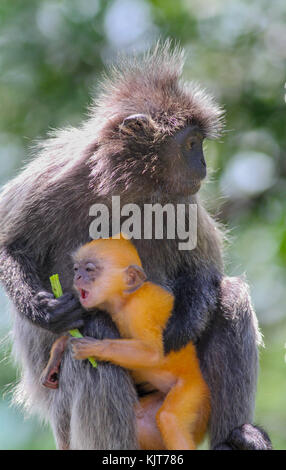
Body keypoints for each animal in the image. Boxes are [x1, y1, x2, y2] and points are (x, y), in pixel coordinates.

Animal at [41, 237, 209, 450]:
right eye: (76, 269)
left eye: (89, 270)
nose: (77, 277)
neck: (125, 300)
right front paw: (57, 351)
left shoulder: (141, 309)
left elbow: (153, 353)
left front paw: (96, 348)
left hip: (194, 388)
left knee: (169, 417)